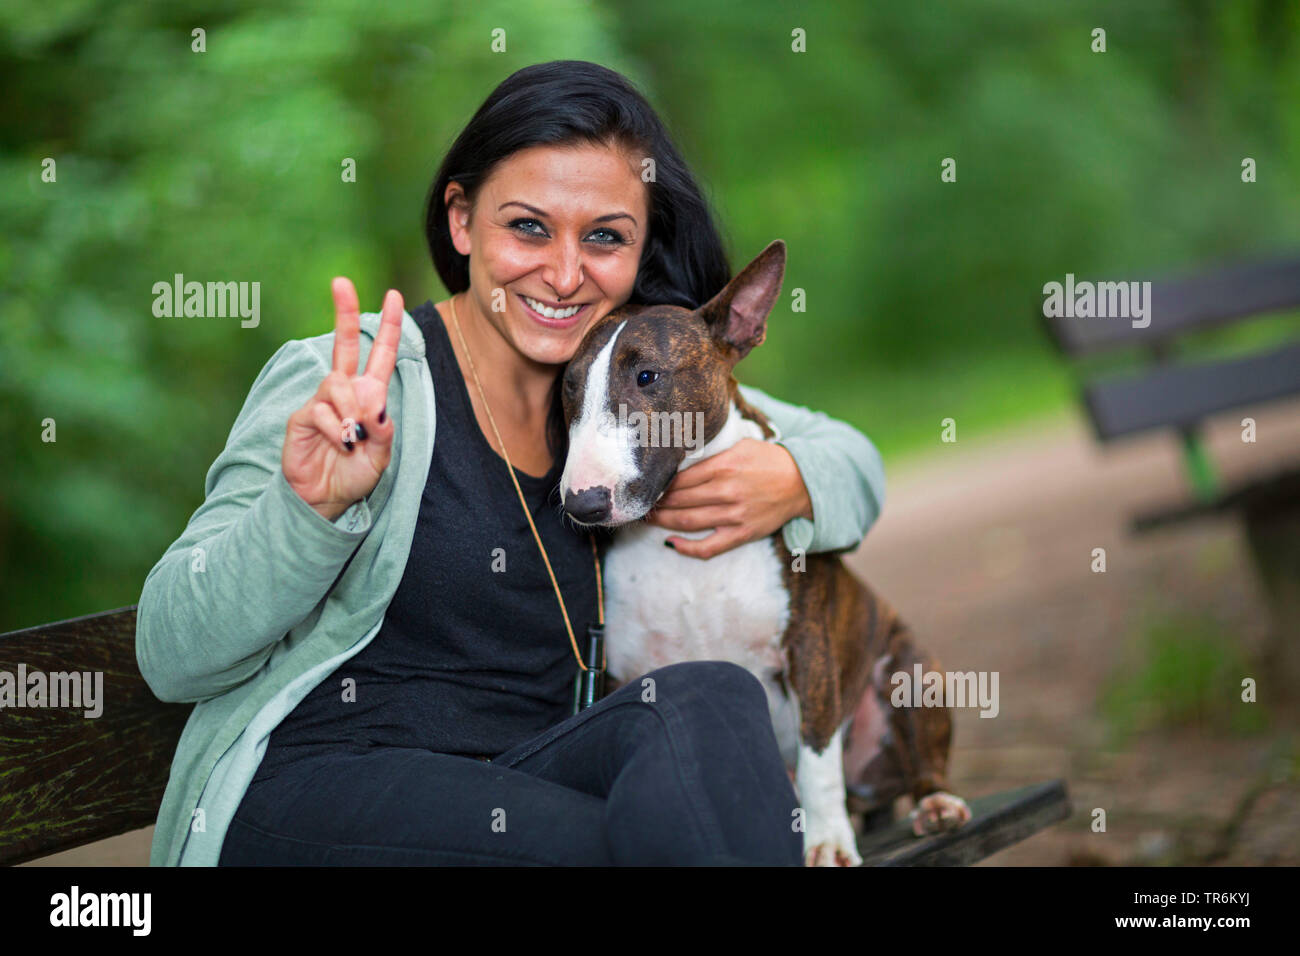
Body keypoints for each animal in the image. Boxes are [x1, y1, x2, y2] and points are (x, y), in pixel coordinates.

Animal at [553, 240, 972, 868]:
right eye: (569, 388)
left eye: (647, 375)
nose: (583, 504)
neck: (682, 547)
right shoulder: (622, 675)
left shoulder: (808, 649)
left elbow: (819, 754)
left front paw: (827, 843)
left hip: (909, 668)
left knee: (916, 761)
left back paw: (934, 803)